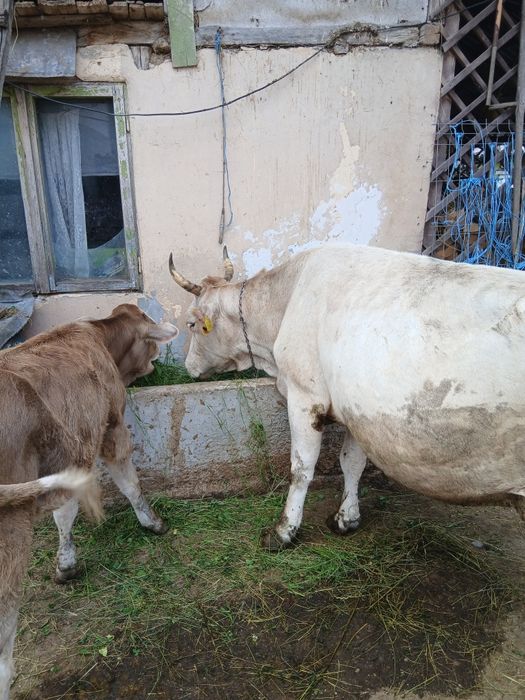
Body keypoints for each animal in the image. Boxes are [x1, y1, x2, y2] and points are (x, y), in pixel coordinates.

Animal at [0, 304, 177, 699]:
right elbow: (129, 482)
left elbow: (65, 512)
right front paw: (153, 522)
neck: (98, 335)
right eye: (149, 339)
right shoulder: (111, 425)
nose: (157, 361)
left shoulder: (71, 455)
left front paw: (66, 564)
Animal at [169, 244, 525, 551]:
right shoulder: (358, 409)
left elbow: (301, 467)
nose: (189, 367)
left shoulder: (304, 396)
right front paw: (346, 518)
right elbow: (351, 462)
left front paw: (283, 531)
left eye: (192, 323)